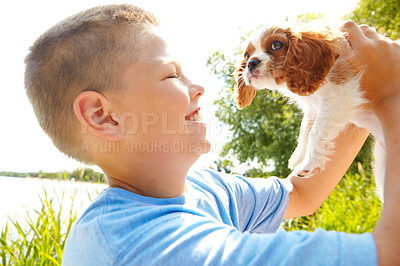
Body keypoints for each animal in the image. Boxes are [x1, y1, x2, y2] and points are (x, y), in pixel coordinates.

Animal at [234, 24, 384, 195]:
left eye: (276, 45)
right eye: (247, 55)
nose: (251, 63)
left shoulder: (341, 93)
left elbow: (315, 132)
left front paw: (309, 163)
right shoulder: (313, 107)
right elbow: (305, 129)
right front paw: (299, 156)